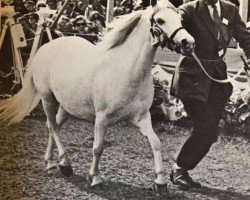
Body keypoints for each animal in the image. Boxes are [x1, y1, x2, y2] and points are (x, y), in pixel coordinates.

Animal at [0, 0, 194, 189]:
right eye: (160, 20)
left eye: (180, 18)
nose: (188, 43)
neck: (127, 71)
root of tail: (45, 48)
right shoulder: (102, 118)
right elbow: (98, 147)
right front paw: (94, 178)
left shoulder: (142, 117)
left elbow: (156, 143)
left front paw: (160, 181)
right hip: (48, 99)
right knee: (53, 127)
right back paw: (65, 164)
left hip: (66, 106)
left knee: (53, 125)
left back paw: (51, 162)